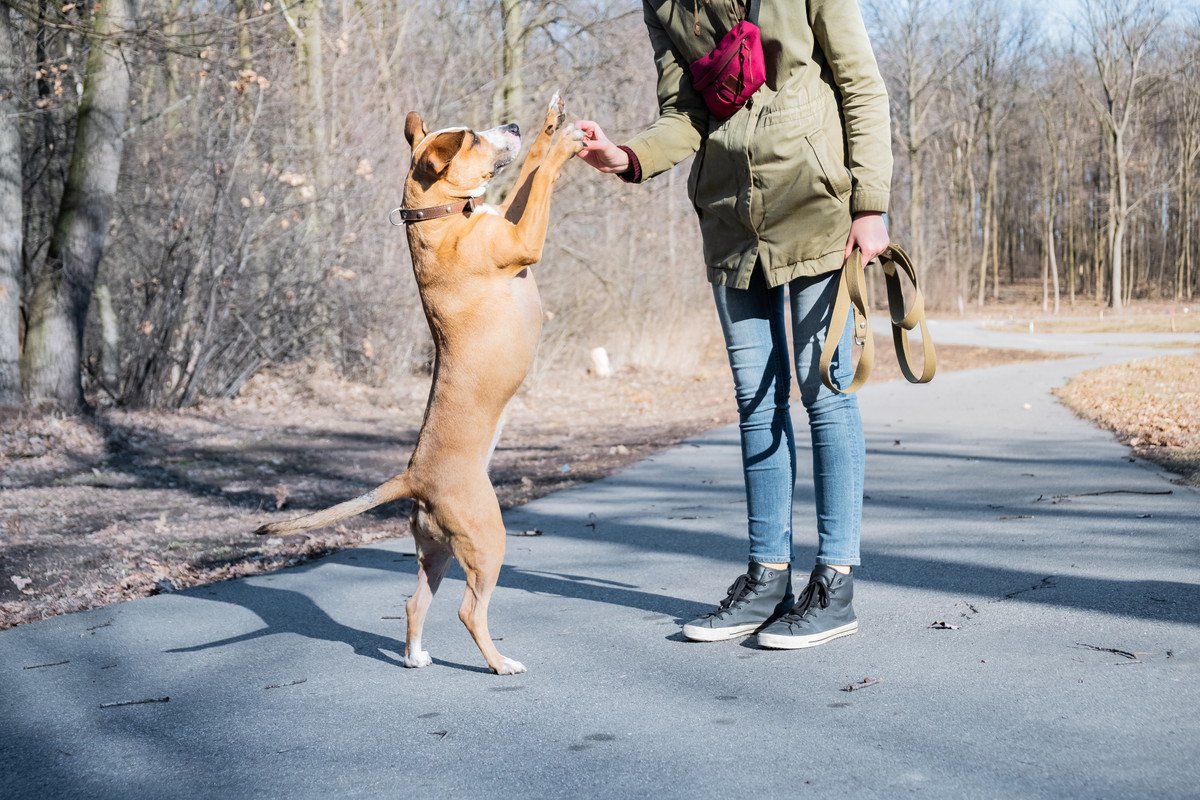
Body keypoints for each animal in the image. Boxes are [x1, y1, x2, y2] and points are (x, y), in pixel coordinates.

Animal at [256, 97, 585, 681]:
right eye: (471, 137)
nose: (512, 123)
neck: (444, 217)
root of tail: (415, 476)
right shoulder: (523, 241)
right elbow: (542, 174)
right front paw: (563, 141)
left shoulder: (508, 218)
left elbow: (526, 171)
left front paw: (548, 127)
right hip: (487, 539)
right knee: (468, 610)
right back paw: (500, 664)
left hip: (438, 550)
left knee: (415, 603)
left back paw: (414, 656)